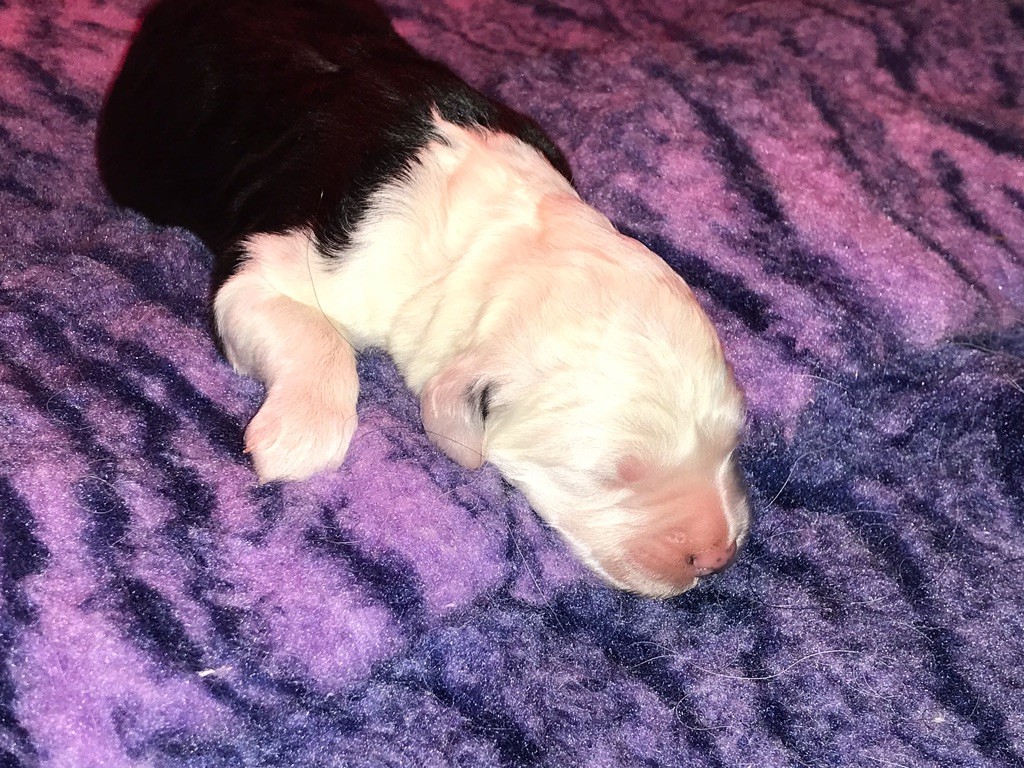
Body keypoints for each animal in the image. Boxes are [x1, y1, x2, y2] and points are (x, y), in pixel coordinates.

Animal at [97, 0, 750, 597]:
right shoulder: (270, 264)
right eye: (612, 476)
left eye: (732, 441)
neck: (494, 235)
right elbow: (317, 336)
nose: (718, 556)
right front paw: (299, 437)